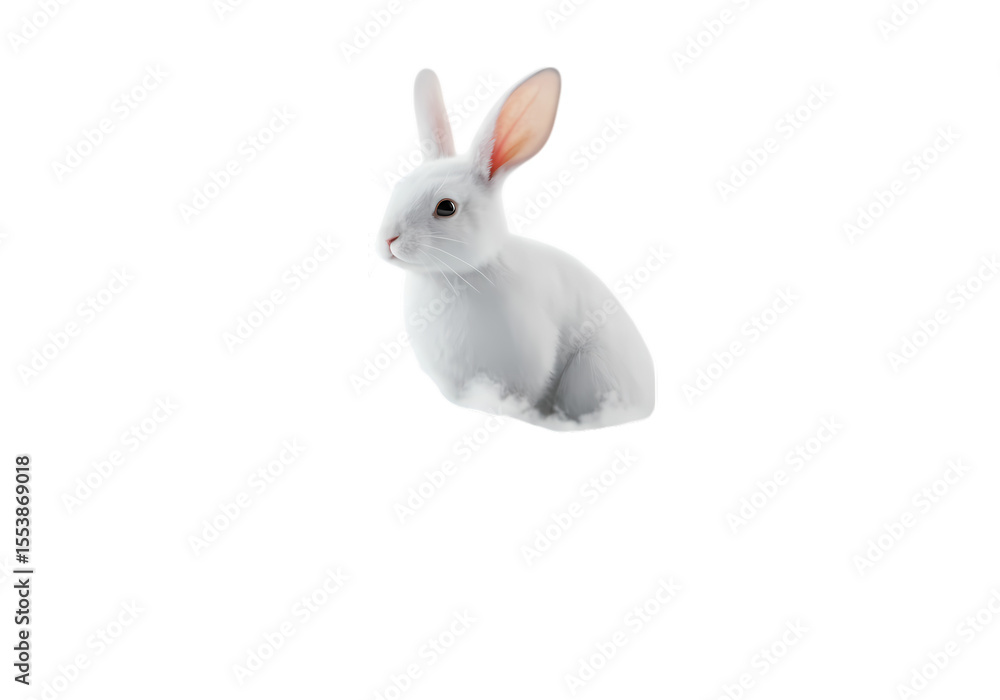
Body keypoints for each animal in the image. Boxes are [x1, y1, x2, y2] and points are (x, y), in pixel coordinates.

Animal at [374, 68, 655, 430]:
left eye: (446, 207)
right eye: (399, 187)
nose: (387, 239)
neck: (458, 274)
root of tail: (649, 402)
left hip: (592, 369)